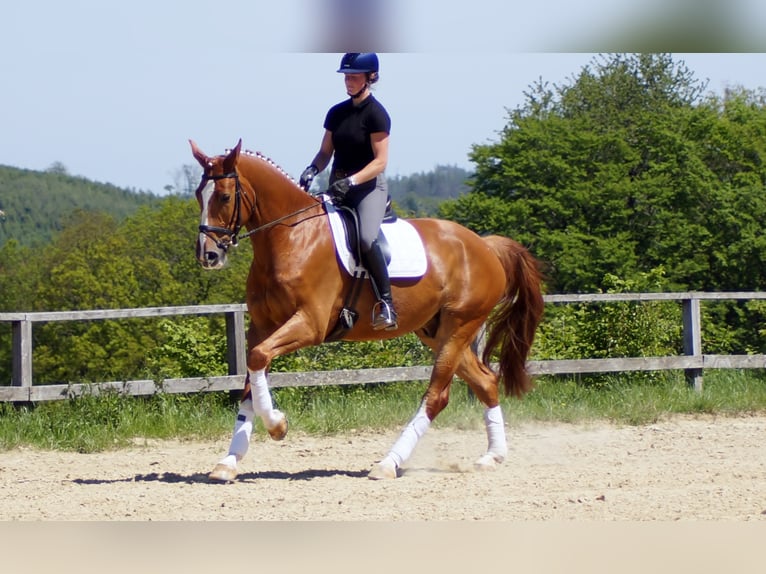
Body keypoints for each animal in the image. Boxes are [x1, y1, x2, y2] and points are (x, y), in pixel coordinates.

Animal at [190, 140, 544, 482]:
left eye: (223, 196)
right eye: (198, 195)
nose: (208, 256)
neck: (291, 236)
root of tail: (485, 246)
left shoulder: (310, 324)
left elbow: (259, 358)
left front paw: (277, 424)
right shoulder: (262, 326)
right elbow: (252, 373)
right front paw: (229, 461)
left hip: (461, 325)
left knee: (436, 397)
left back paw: (388, 463)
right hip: (437, 332)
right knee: (485, 381)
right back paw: (492, 456)